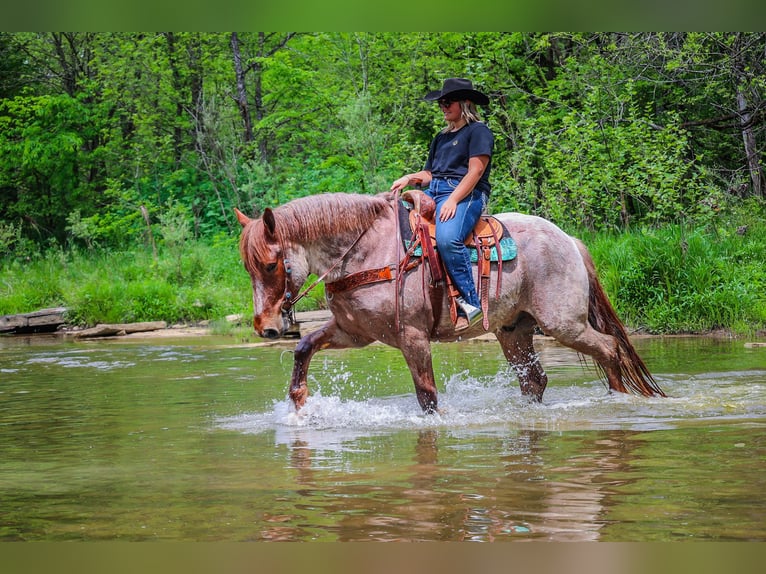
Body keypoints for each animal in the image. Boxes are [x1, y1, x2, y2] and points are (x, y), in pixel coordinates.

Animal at [236, 192, 664, 414]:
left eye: (271, 264)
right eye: (248, 266)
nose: (266, 327)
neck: (366, 253)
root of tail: (569, 240)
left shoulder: (411, 337)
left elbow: (426, 395)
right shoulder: (353, 332)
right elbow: (305, 346)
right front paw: (298, 402)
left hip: (564, 324)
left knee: (608, 349)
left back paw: (617, 401)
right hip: (514, 332)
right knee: (535, 380)